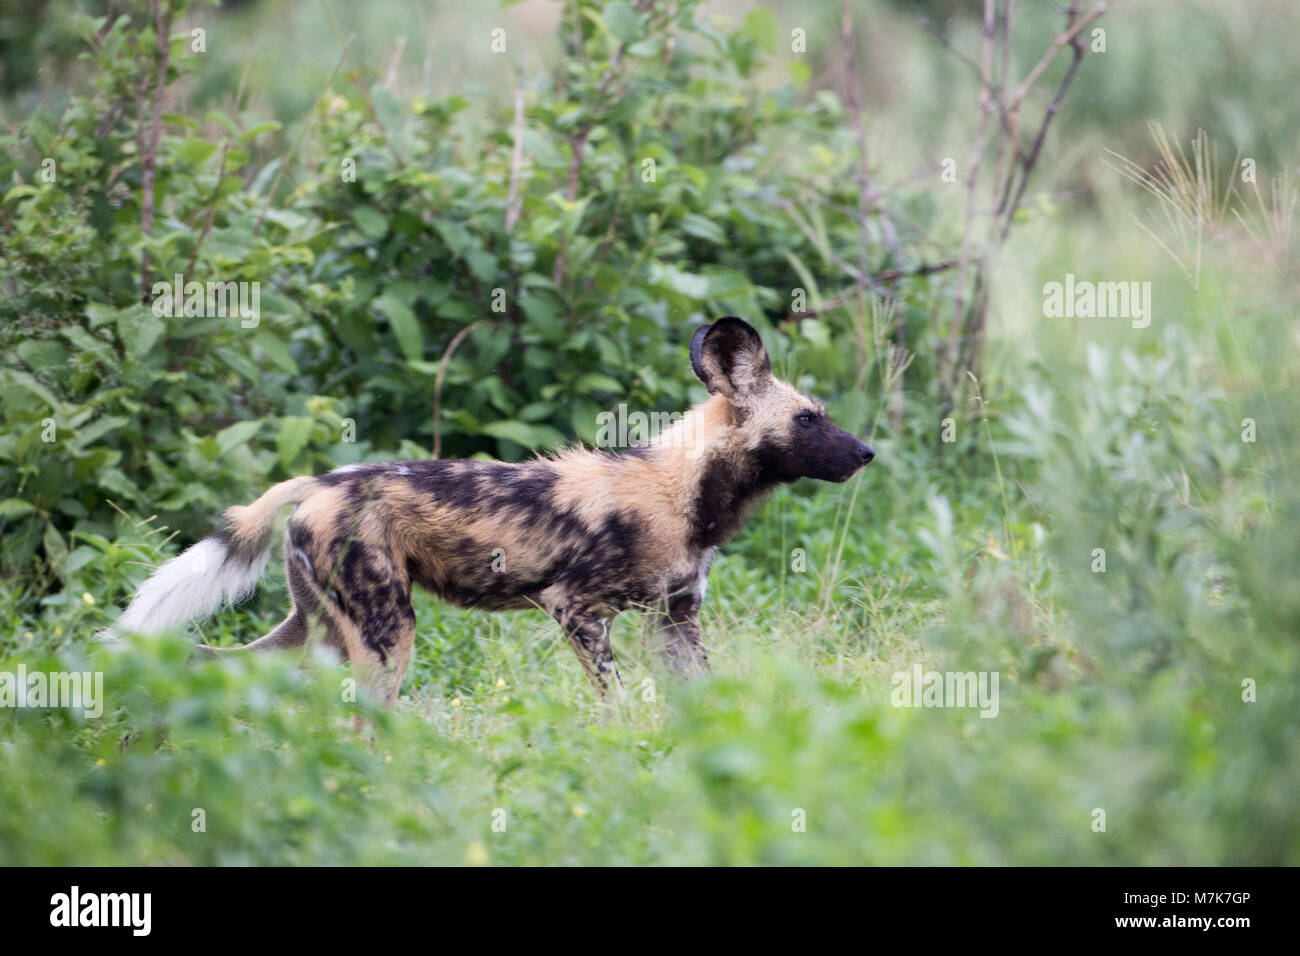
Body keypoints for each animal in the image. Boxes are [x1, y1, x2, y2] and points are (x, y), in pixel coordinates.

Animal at [111, 317, 878, 697]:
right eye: (808, 419)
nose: (867, 451)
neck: (685, 487)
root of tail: (320, 481)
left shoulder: (676, 620)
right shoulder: (577, 609)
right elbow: (620, 701)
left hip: (317, 630)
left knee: (212, 664)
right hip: (387, 634)